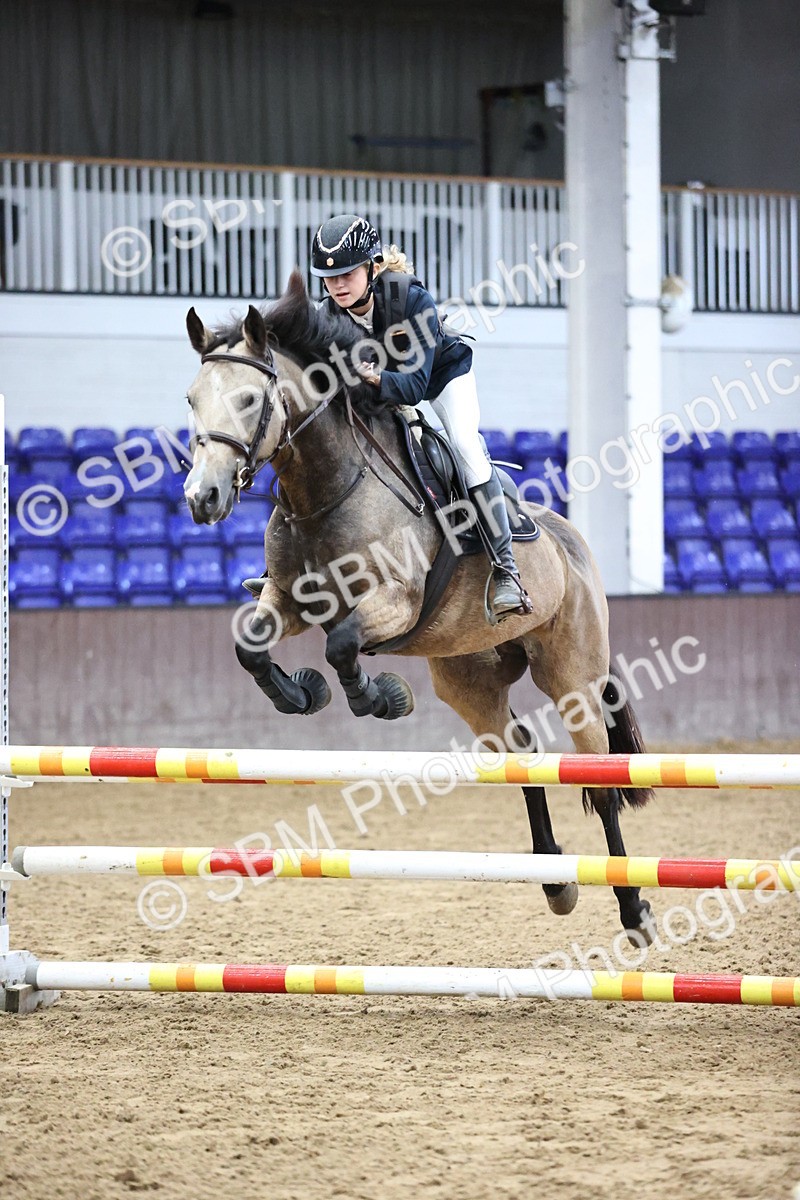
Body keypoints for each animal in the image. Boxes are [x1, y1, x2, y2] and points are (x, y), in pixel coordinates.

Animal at [183, 270, 656, 944]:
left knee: (601, 781)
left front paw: (380, 698)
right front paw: (301, 694)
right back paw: (555, 882)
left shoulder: (394, 604)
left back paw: (633, 907)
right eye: (192, 399)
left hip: (572, 676)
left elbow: (343, 646)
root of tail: (573, 546)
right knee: (521, 757)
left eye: (249, 401)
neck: (326, 488)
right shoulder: (288, 600)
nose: (202, 498)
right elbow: (251, 646)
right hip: (469, 679)